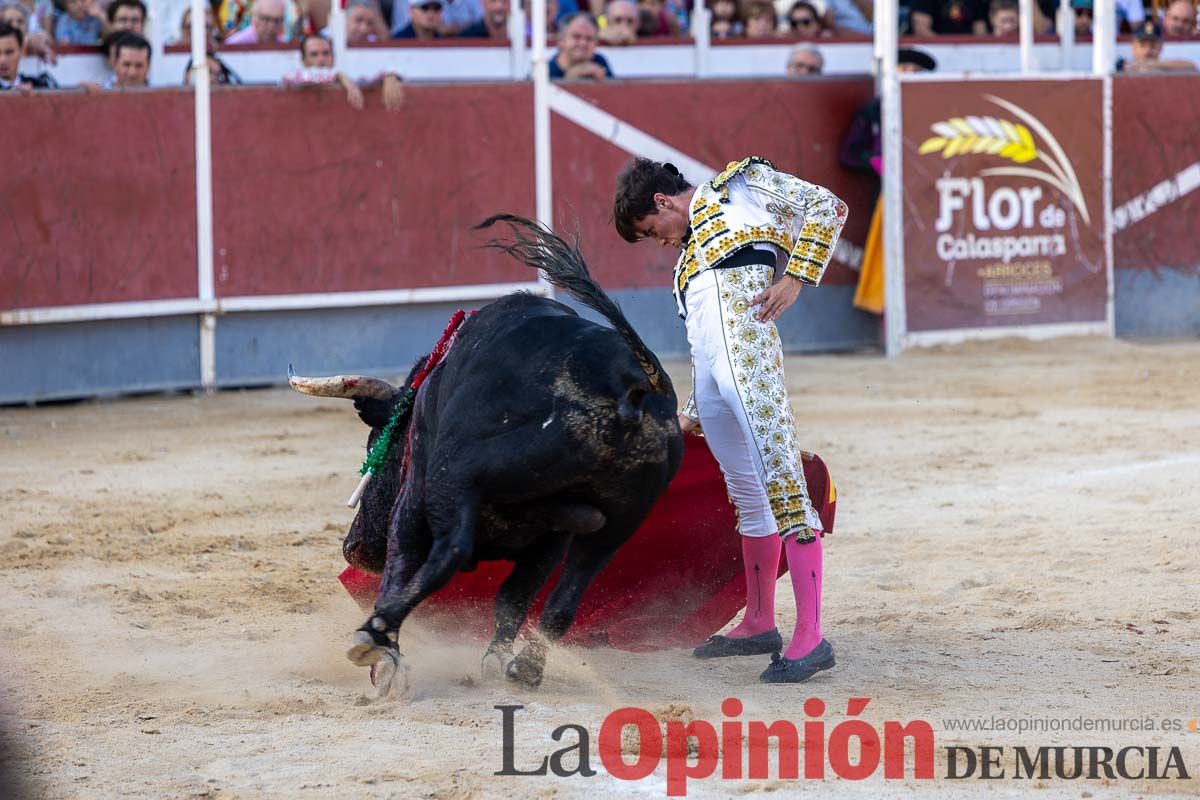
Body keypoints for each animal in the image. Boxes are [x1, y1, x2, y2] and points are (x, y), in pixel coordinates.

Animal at [288, 215, 686, 690]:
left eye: (374, 444)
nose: (354, 549)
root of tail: (629, 385)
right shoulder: (551, 539)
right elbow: (516, 596)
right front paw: (495, 660)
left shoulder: (414, 494)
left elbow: (402, 566)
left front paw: (386, 659)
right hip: (620, 521)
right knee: (567, 595)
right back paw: (525, 668)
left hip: (456, 474)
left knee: (450, 550)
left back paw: (374, 636)